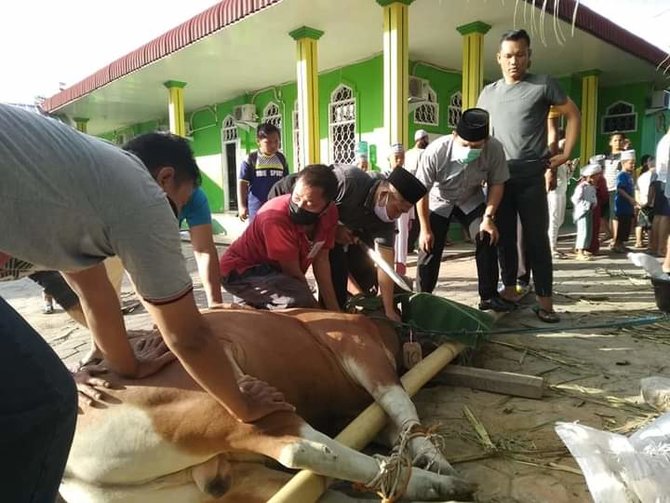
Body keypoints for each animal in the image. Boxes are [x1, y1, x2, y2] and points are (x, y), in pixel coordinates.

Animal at [60, 310, 476, 502]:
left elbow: (394, 424)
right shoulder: (359, 348)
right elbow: (400, 405)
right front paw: (438, 463)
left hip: (219, 483)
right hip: (221, 405)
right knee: (302, 448)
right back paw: (440, 484)